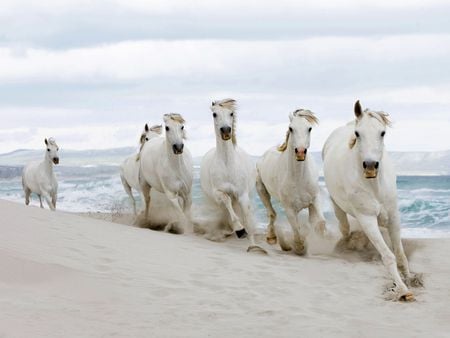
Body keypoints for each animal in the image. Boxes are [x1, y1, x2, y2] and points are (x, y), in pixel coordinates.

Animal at [199, 99, 266, 252]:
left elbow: (246, 216)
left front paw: (253, 246)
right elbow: (227, 201)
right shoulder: (218, 193)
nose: (225, 130)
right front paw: (240, 230)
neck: (227, 165)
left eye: (231, 113)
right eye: (214, 114)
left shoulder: (242, 195)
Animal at [256, 109, 326, 255]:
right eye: (291, 128)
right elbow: (297, 230)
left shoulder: (315, 199)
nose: (300, 152)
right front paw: (298, 247)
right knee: (272, 213)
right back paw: (272, 238)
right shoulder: (289, 209)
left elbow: (320, 222)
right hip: (261, 190)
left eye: (309, 128)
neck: (299, 178)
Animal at [324, 100, 418, 302]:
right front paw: (403, 290)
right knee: (344, 227)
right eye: (358, 133)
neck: (374, 186)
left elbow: (400, 254)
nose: (370, 166)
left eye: (382, 133)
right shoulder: (367, 219)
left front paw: (410, 279)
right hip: (338, 206)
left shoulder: (393, 217)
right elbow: (388, 256)